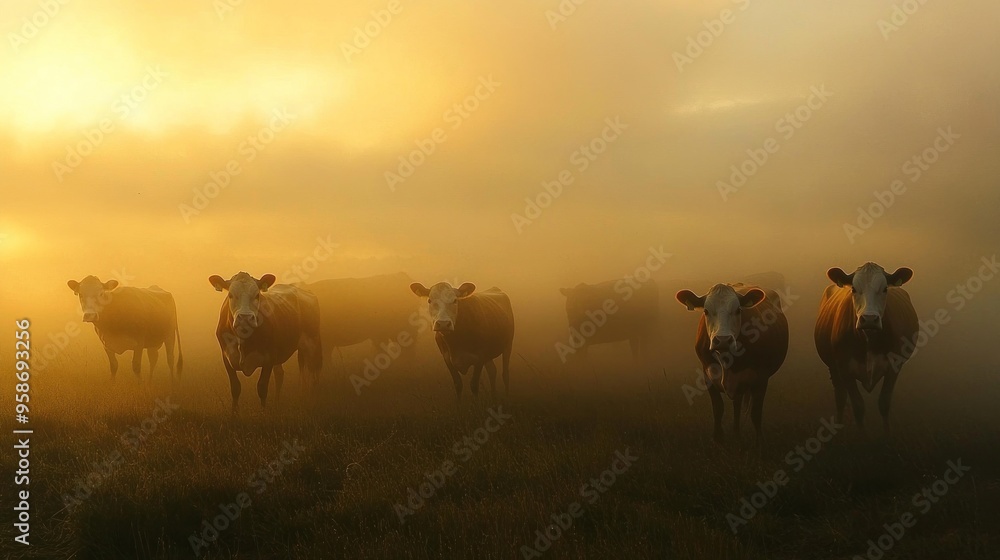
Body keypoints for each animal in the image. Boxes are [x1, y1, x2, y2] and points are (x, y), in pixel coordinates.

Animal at [209, 272, 322, 412]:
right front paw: (234, 414)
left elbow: (262, 388)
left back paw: (313, 403)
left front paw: (263, 413)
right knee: (280, 375)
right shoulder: (227, 358)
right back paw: (277, 403)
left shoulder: (269, 358)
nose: (245, 318)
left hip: (312, 342)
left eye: (257, 295)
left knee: (313, 376)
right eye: (230, 295)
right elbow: (235, 388)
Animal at [672, 284, 788, 446]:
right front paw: (717, 438)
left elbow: (756, 412)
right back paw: (736, 435)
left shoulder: (761, 378)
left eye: (738, 310)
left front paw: (759, 441)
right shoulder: (707, 375)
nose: (723, 340)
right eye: (706, 311)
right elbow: (718, 408)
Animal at [816, 264, 916, 436]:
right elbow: (858, 406)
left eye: (885, 289)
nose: (869, 319)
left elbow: (884, 402)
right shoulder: (844, 368)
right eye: (853, 289)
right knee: (840, 397)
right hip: (833, 367)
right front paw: (862, 437)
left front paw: (887, 435)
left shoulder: (894, 366)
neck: (869, 339)